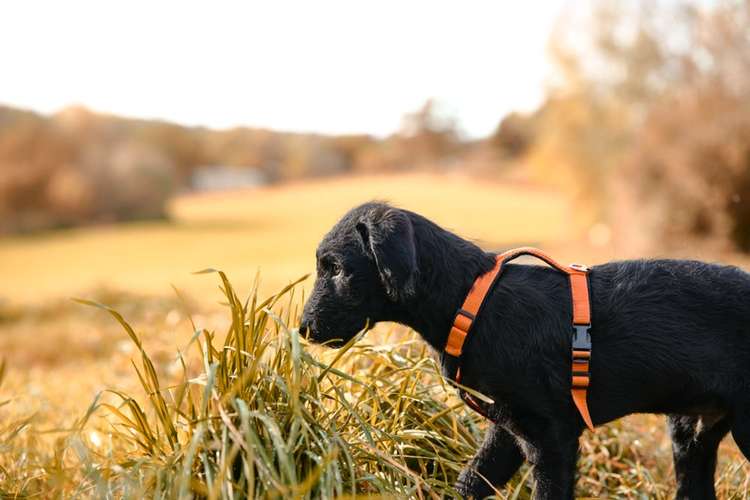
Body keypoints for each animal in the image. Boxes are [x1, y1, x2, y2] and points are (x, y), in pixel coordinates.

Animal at [300, 201, 750, 498]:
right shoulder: (507, 429)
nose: (303, 329)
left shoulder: (549, 435)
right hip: (691, 434)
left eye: (336, 268)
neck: (469, 301)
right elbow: (470, 481)